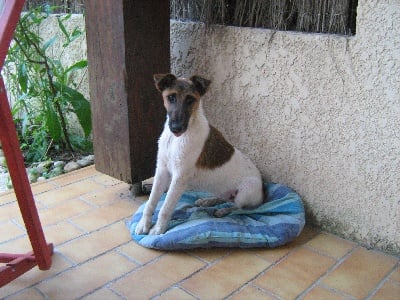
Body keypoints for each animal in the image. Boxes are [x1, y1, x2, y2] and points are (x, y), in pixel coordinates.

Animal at [136, 73, 264, 234]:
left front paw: (158, 229)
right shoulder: (161, 170)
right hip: (224, 190)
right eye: (171, 97)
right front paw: (143, 224)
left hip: (246, 192)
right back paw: (208, 201)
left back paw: (222, 211)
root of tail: (263, 192)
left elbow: (166, 207)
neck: (175, 140)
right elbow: (151, 201)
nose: (176, 128)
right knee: (225, 198)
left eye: (190, 99)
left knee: (241, 208)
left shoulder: (179, 177)